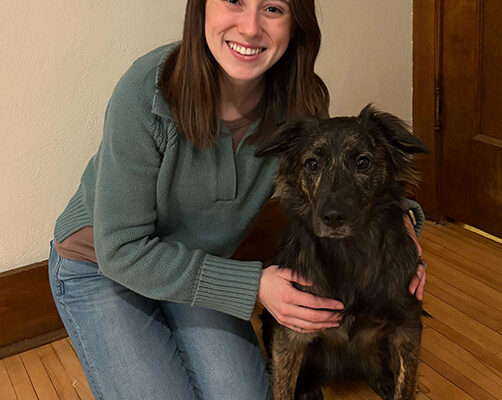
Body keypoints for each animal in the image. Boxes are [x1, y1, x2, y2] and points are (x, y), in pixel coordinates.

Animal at [256, 104, 430, 400]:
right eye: (312, 164)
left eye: (363, 162)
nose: (333, 217)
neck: (350, 254)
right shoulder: (290, 332)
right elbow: (282, 387)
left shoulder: (407, 328)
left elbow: (405, 385)